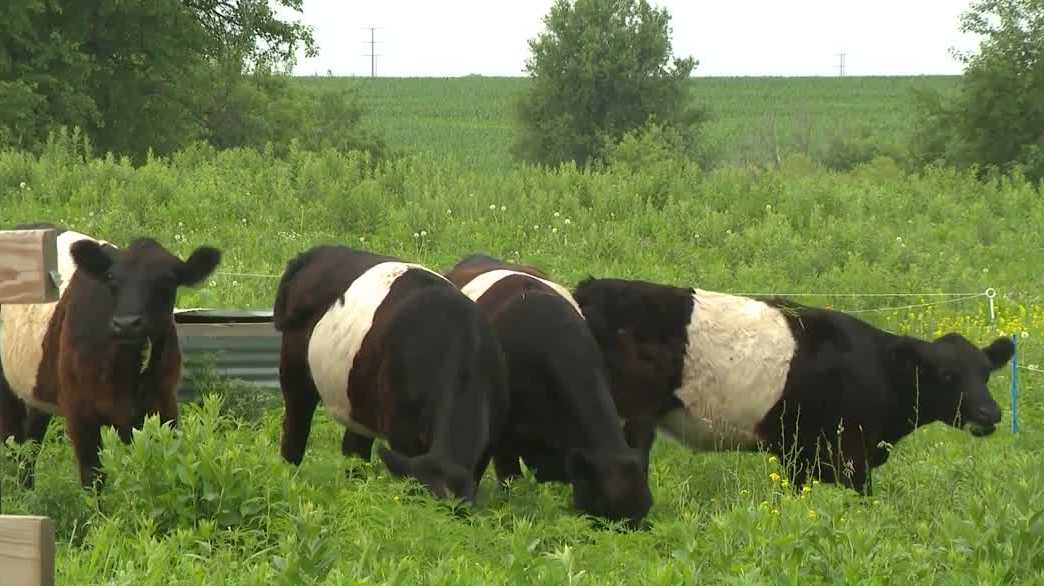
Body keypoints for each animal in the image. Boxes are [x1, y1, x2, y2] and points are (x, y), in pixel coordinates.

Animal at [0, 223, 221, 489]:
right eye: (111, 279)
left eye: (167, 281)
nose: (126, 323)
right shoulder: (79, 411)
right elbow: (92, 475)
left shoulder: (164, 404)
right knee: (13, 442)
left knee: (30, 443)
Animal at [272, 245, 510, 503]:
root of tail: (318, 252)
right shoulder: (402, 435)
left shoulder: (486, 445)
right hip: (295, 373)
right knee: (296, 429)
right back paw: (289, 476)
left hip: (359, 397)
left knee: (354, 450)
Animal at [572, 277, 1015, 495]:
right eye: (947, 376)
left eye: (985, 373)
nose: (990, 412)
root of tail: (590, 287)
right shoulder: (847, 454)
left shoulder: (800, 455)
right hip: (627, 416)